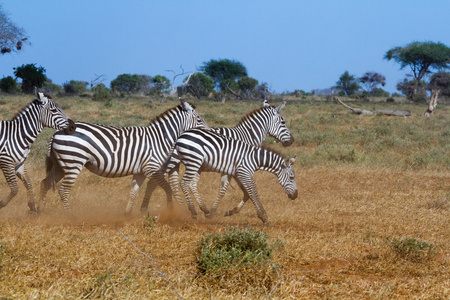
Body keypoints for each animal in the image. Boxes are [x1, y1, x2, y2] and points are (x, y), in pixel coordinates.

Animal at [38, 98, 209, 213]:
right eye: (199, 119)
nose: (209, 132)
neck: (160, 138)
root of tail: (56, 132)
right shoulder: (151, 168)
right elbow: (167, 189)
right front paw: (171, 211)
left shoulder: (140, 171)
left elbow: (133, 192)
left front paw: (127, 214)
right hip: (73, 163)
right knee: (63, 190)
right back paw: (70, 216)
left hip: (61, 165)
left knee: (45, 183)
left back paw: (38, 211)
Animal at [142, 100, 296, 216]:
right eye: (283, 122)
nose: (292, 141)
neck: (245, 136)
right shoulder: (236, 166)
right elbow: (226, 189)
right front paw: (217, 210)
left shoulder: (235, 167)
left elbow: (244, 191)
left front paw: (231, 210)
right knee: (158, 182)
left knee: (170, 183)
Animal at [163, 128, 298, 225]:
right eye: (291, 177)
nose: (295, 196)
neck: (254, 158)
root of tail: (181, 135)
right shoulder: (244, 172)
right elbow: (253, 191)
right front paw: (263, 216)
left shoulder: (237, 174)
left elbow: (246, 193)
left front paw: (231, 211)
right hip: (193, 161)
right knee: (184, 183)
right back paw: (192, 211)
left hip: (188, 162)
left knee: (188, 183)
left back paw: (203, 209)